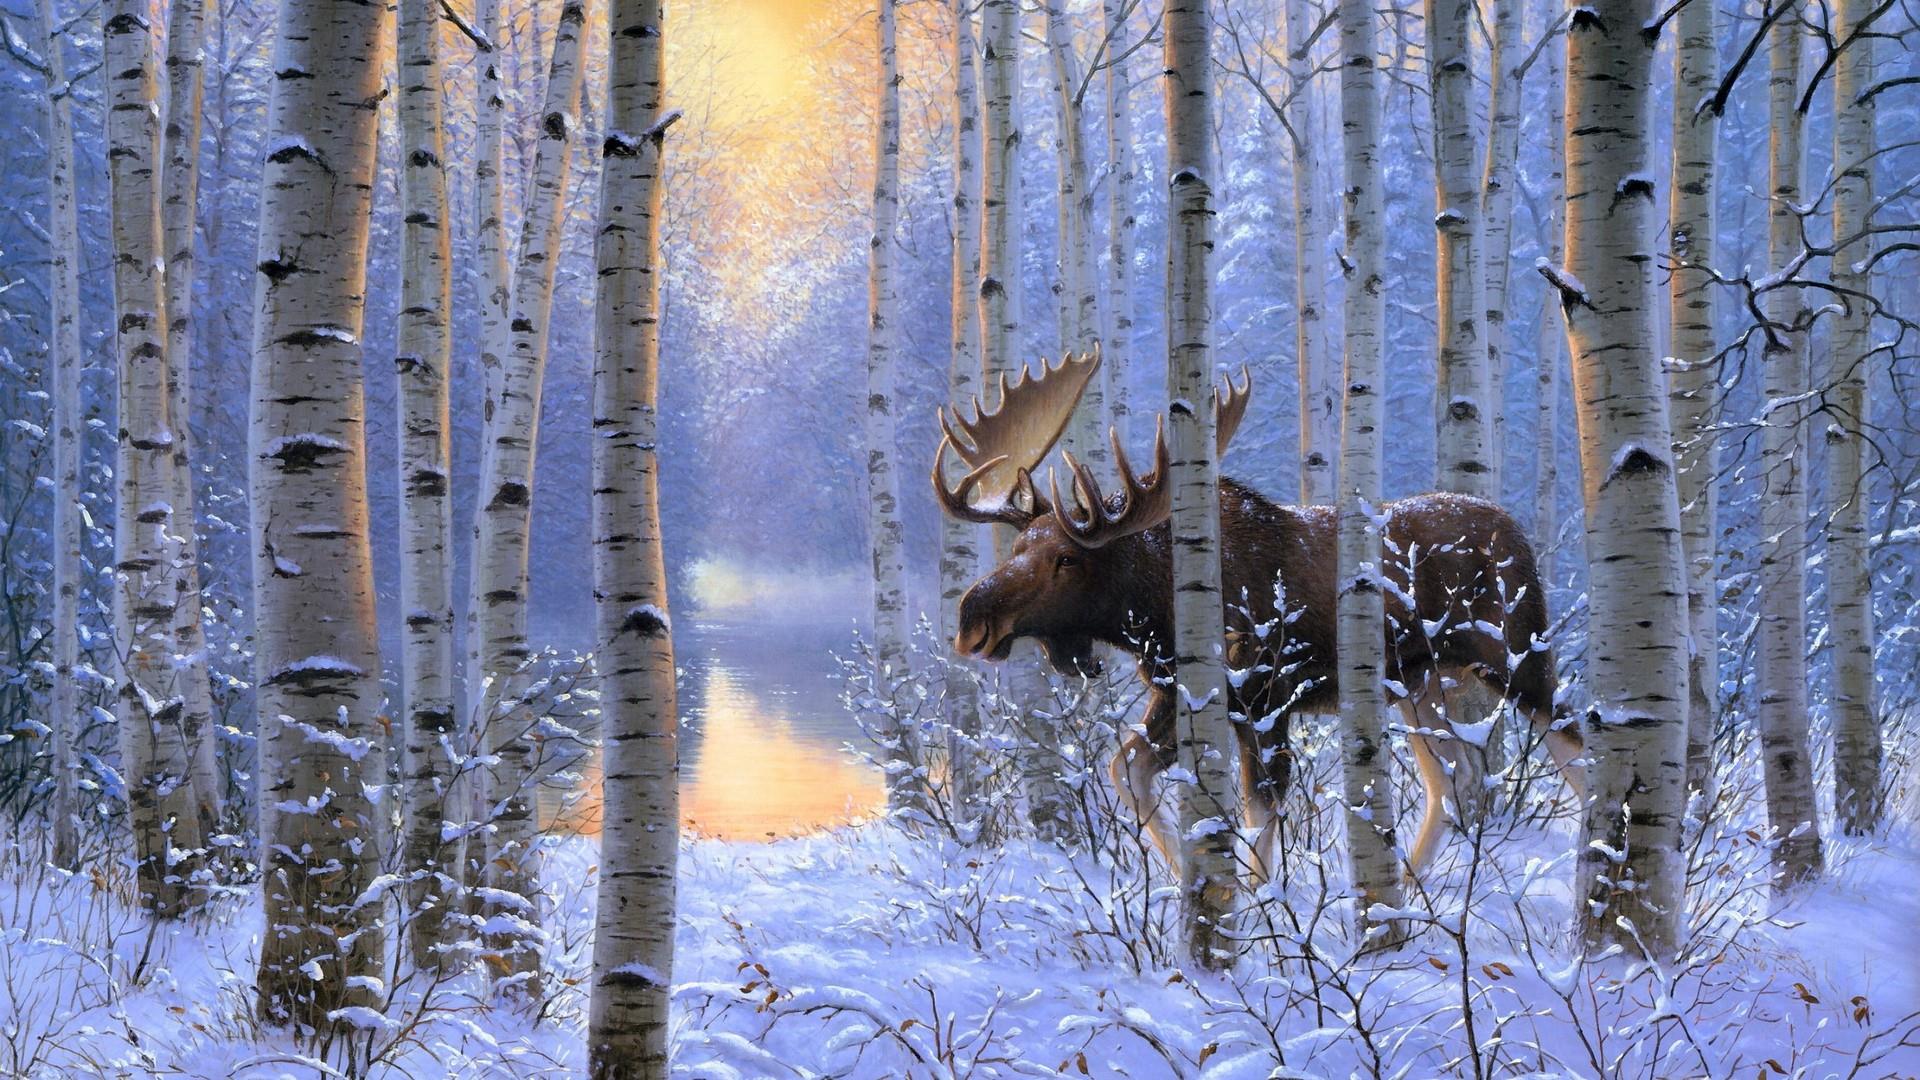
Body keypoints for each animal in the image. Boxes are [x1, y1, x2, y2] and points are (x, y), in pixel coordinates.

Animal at [932, 349, 1586, 885]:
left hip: (1518, 657)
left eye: (1066, 559)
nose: (972, 620)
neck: (1156, 612)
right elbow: (1128, 771)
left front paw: (1256, 909)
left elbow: (1260, 813)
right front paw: (1187, 882)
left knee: (1576, 747)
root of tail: (1519, 534)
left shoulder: (1269, 698)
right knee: (1456, 782)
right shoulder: (1180, 693)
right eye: (1017, 548)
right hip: (1420, 681)